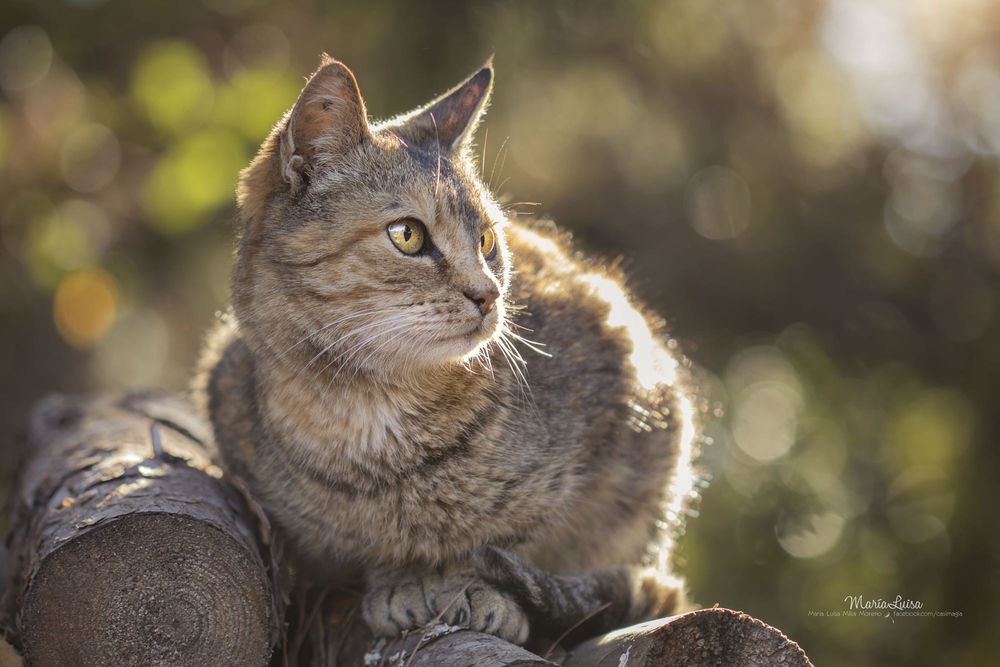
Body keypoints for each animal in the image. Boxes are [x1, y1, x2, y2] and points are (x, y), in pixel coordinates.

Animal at [193, 53, 696, 648]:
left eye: (488, 241)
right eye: (407, 235)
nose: (489, 294)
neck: (365, 414)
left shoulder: (632, 379)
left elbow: (517, 540)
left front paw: (473, 587)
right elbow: (364, 553)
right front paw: (400, 580)